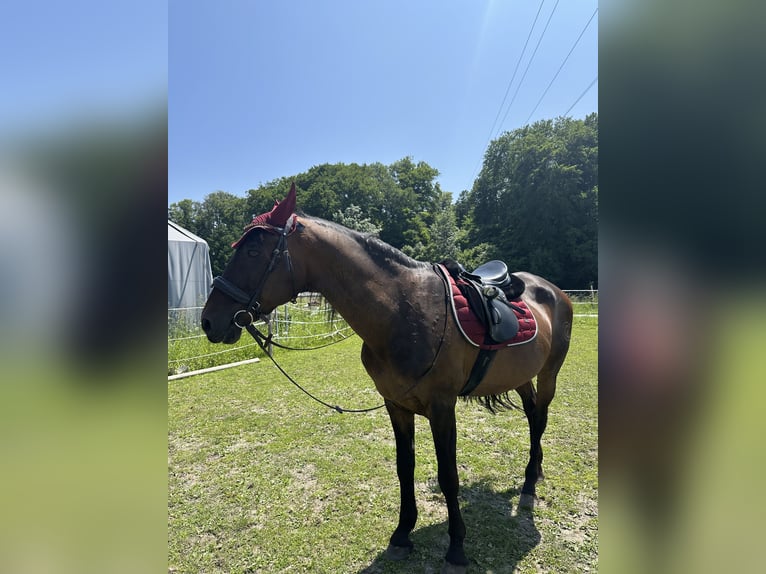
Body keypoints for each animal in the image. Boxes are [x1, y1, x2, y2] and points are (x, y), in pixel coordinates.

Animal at [201, 184, 573, 573]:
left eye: (253, 251)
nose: (209, 320)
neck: (402, 311)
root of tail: (552, 291)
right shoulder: (396, 405)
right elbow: (404, 467)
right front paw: (402, 533)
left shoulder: (443, 408)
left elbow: (448, 476)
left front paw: (456, 547)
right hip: (522, 376)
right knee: (532, 414)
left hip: (549, 373)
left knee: (540, 417)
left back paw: (530, 482)